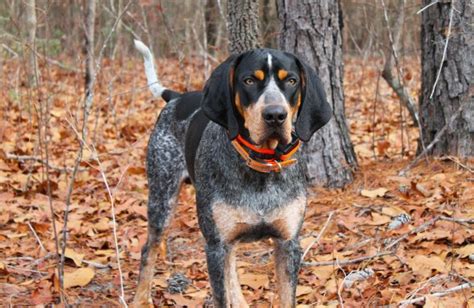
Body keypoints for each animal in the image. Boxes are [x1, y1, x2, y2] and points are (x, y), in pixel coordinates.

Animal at [132, 41, 334, 308]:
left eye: (291, 81)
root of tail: (177, 97)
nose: (275, 115)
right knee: (149, 249)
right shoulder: (215, 245)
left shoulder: (288, 243)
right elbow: (221, 294)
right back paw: (140, 299)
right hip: (161, 198)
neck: (261, 166)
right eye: (249, 80)